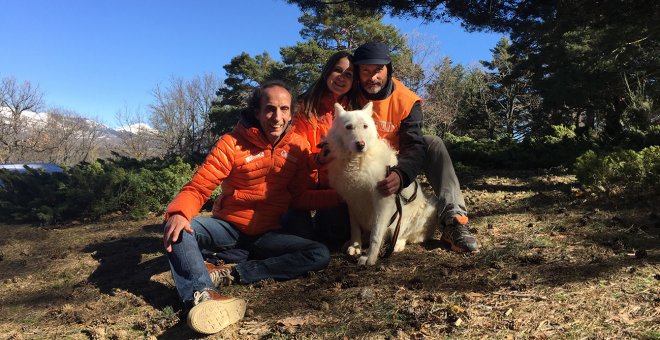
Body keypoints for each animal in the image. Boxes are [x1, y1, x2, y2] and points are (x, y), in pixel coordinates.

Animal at [326, 101, 438, 266]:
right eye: (349, 127)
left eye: (365, 126)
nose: (360, 145)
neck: (358, 161)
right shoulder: (351, 200)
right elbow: (355, 229)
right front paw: (355, 246)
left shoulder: (382, 201)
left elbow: (376, 235)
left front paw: (370, 258)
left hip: (425, 211)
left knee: (405, 234)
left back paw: (397, 244)